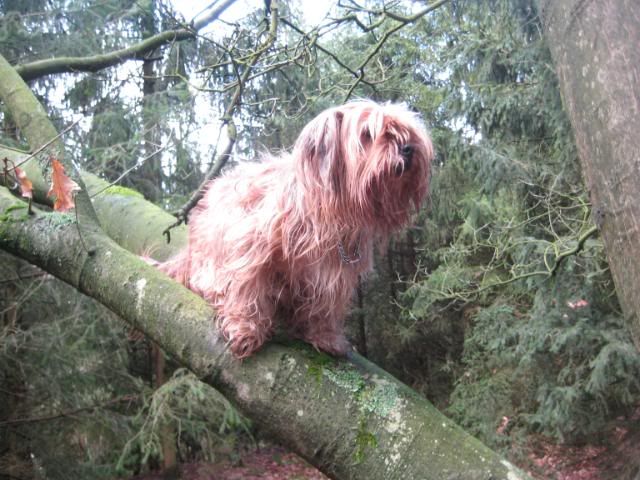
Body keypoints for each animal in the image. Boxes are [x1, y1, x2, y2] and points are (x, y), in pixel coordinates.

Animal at [160, 100, 432, 356]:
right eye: (368, 134)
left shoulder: (334, 272)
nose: (408, 148)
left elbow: (326, 305)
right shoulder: (251, 245)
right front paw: (245, 329)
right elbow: (247, 286)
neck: (331, 213)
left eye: (407, 133)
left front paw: (326, 336)